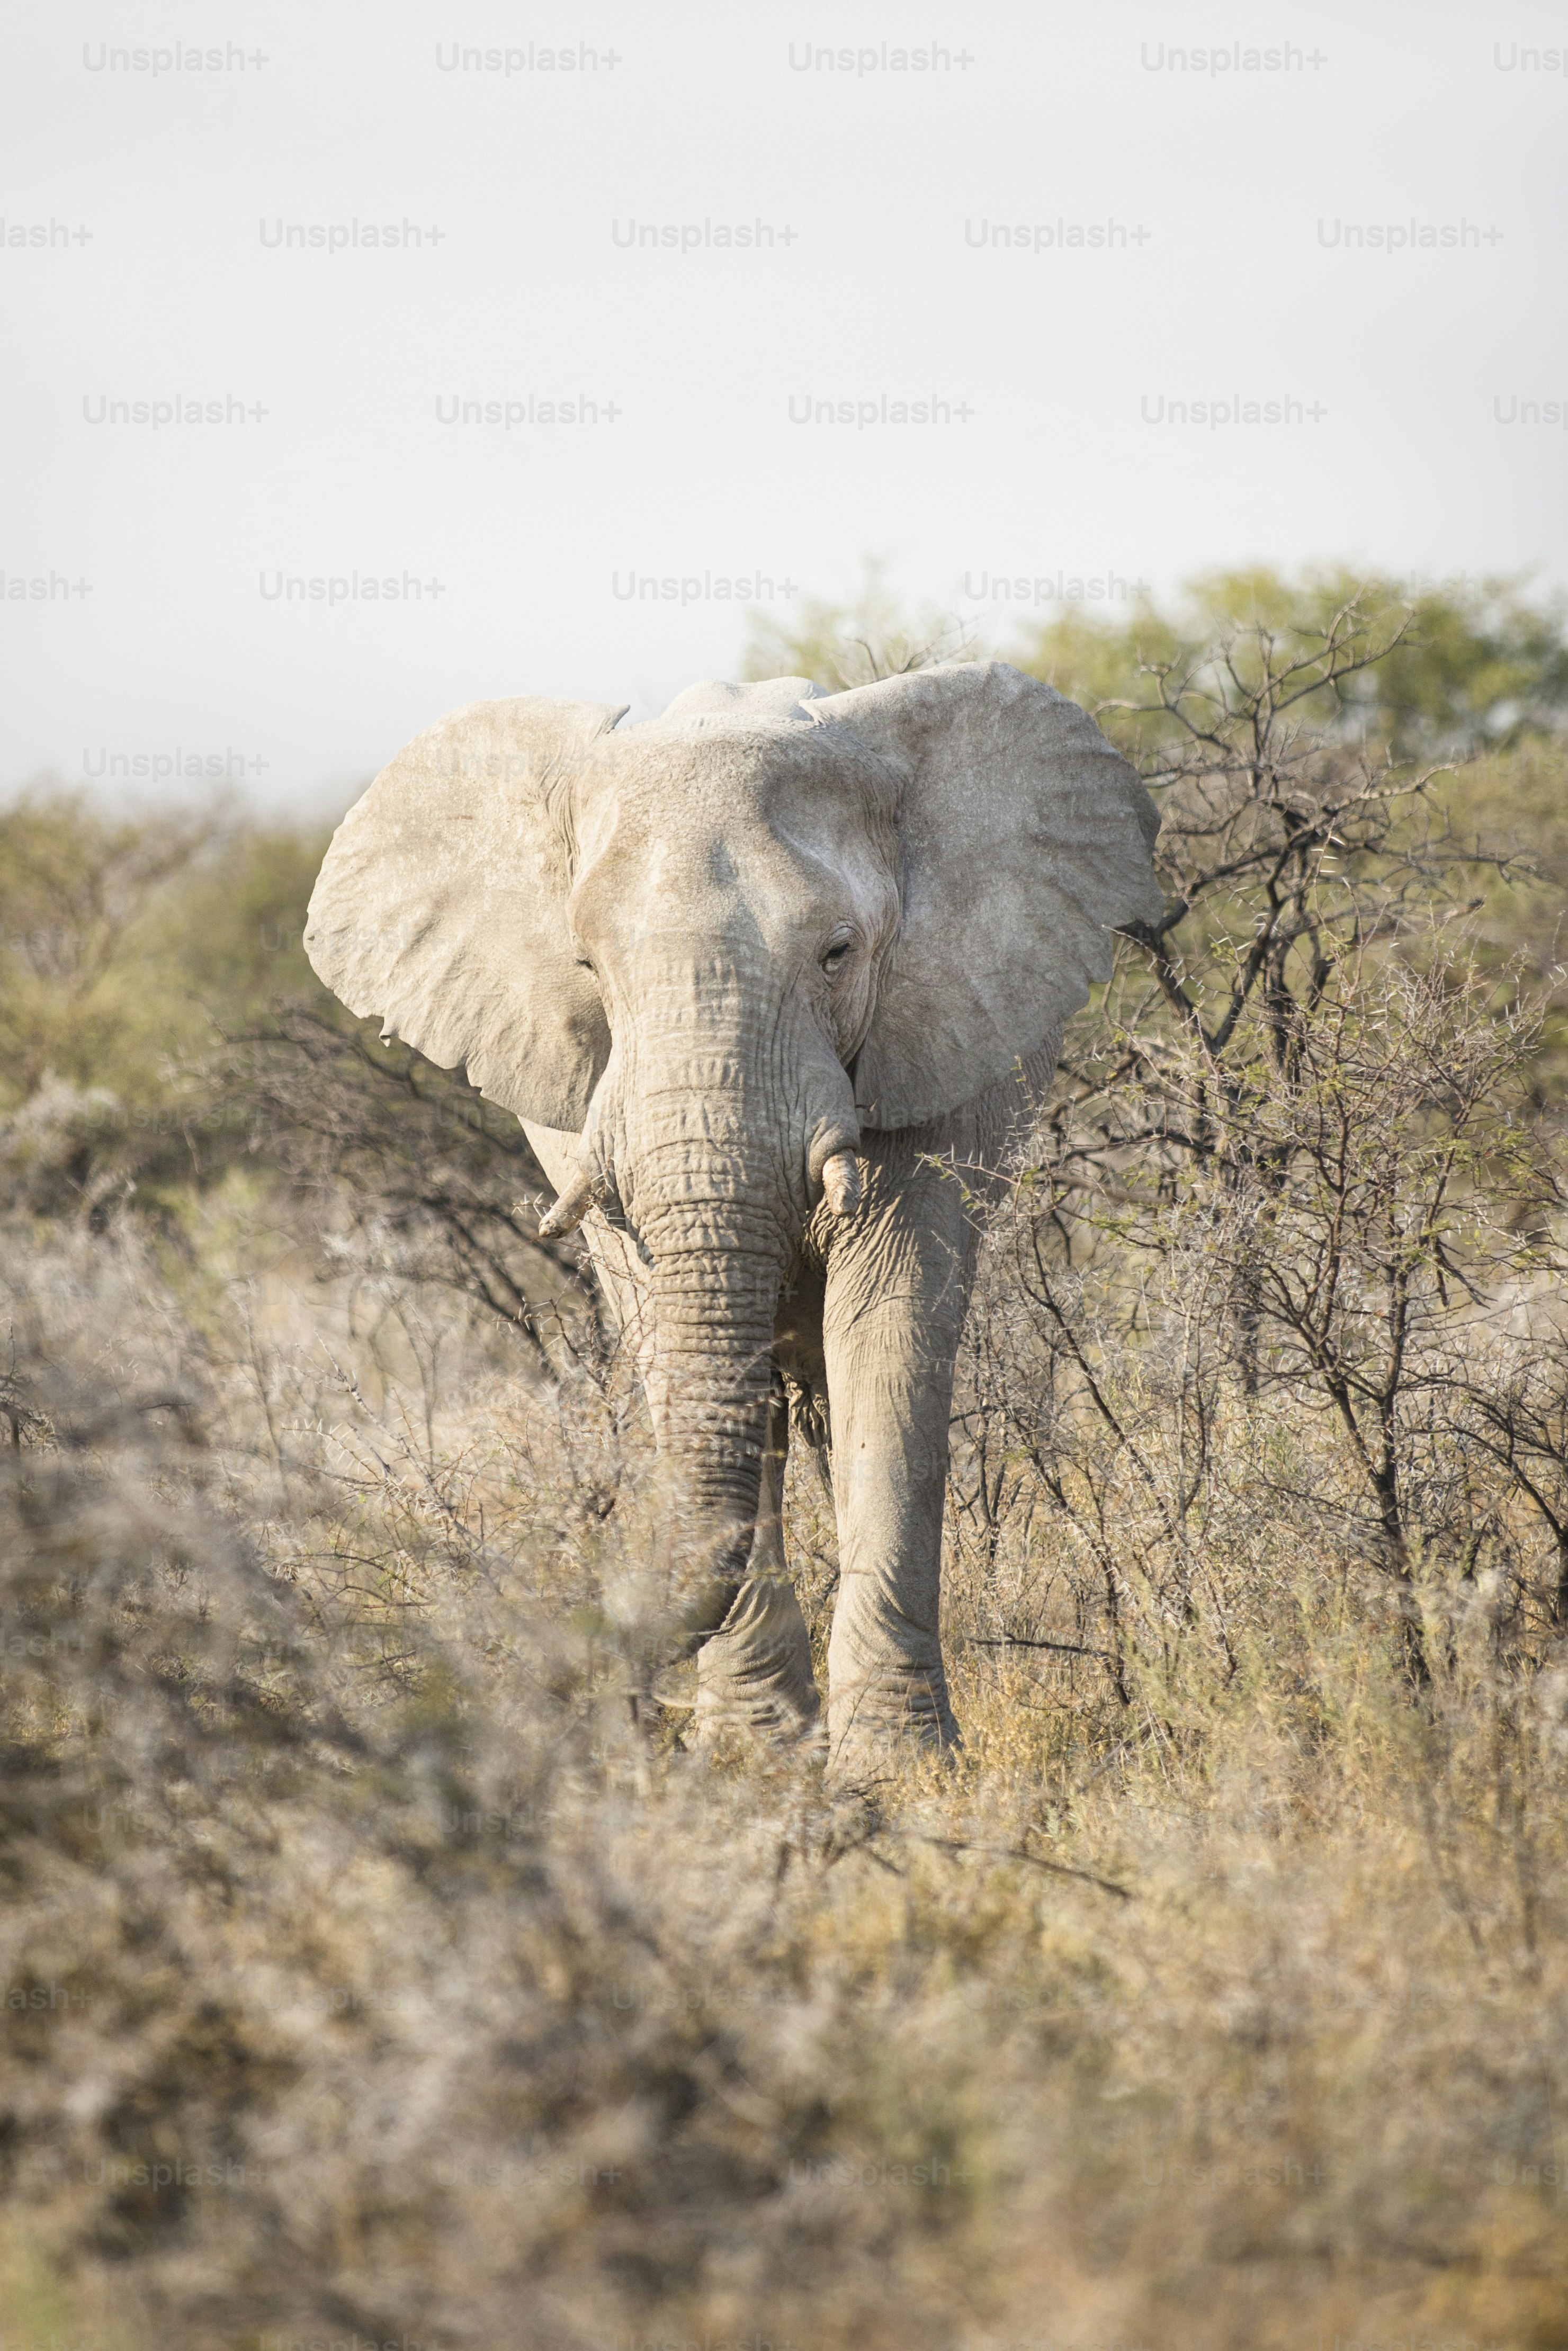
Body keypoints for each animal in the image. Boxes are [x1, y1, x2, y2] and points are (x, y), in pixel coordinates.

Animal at [304, 662, 1162, 1776]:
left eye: (838, 953)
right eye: (588, 969)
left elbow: (888, 1328)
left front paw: (896, 1771)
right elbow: (673, 1342)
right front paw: (752, 1761)